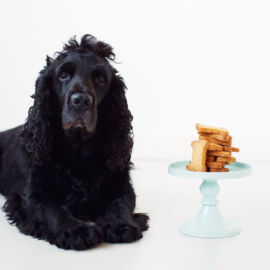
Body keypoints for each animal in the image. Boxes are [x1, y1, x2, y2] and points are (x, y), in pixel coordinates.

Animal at [0, 34, 149, 250]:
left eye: (101, 79)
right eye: (63, 75)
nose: (81, 101)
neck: (79, 151)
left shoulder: (121, 186)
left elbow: (119, 204)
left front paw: (120, 224)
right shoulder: (31, 196)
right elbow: (53, 209)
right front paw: (75, 230)